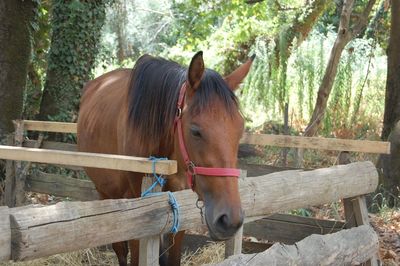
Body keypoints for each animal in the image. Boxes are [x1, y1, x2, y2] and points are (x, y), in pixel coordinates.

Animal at [76, 51, 253, 264]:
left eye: (240, 129)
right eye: (195, 131)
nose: (229, 220)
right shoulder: (136, 214)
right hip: (105, 192)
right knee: (120, 249)